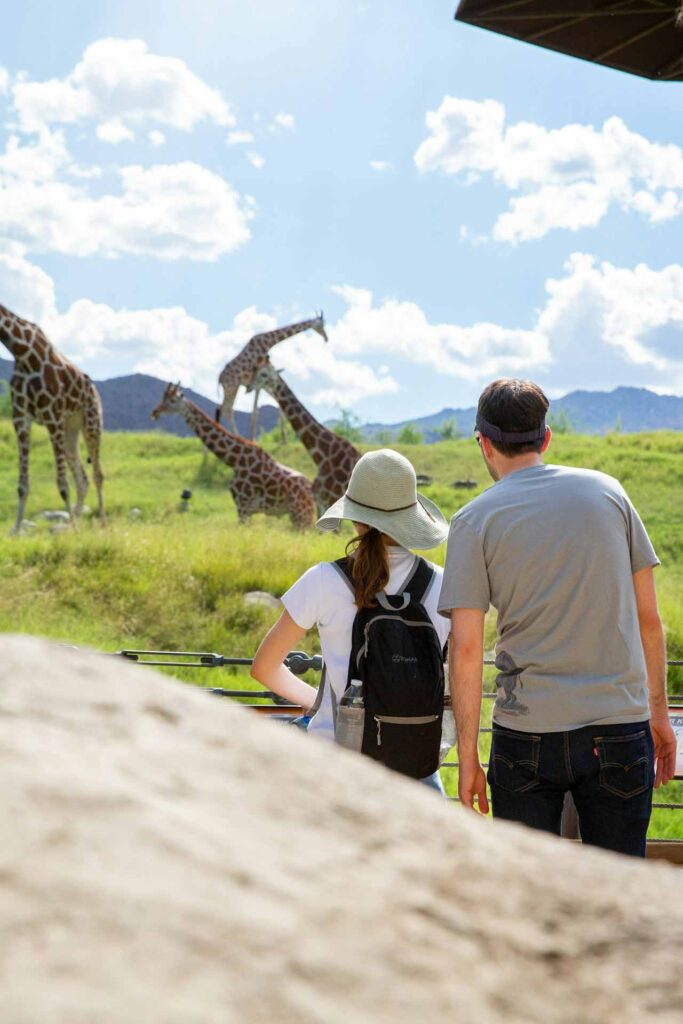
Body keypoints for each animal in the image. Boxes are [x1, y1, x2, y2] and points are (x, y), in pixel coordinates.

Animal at [0, 303, 105, 533]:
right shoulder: (20, 417)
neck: (22, 352)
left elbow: (63, 485)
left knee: (97, 475)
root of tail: (95, 390)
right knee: (82, 479)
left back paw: (102, 521)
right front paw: (16, 529)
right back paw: (74, 522)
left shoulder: (52, 415)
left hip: (92, 424)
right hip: (69, 431)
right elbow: (22, 485)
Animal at [151, 383, 315, 530]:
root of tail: (311, 488)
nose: (155, 412)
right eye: (163, 398)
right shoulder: (243, 508)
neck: (235, 460)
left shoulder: (243, 506)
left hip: (301, 514)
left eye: (172, 400)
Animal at [247, 360, 361, 512]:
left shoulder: (332, 500)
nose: (248, 386)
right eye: (255, 370)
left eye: (264, 374)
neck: (322, 457)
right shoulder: (320, 503)